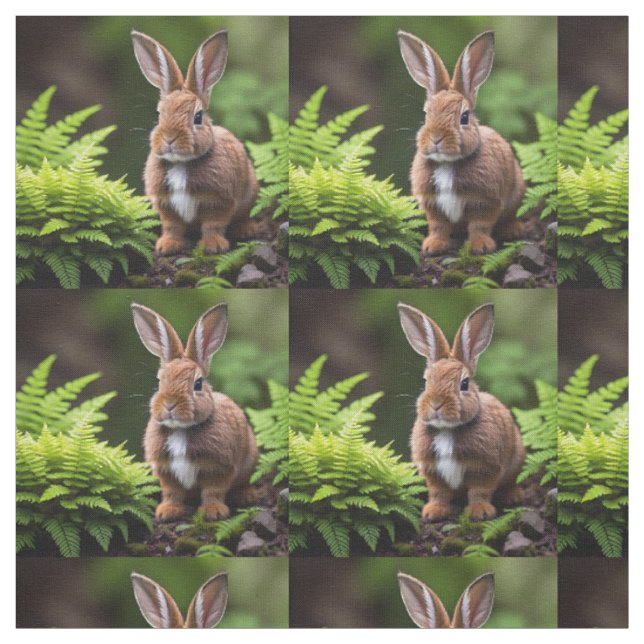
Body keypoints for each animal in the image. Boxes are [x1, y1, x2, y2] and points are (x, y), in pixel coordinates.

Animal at [131, 30, 259, 256]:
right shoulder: (166, 204)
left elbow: (212, 225)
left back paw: (247, 230)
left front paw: (213, 246)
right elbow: (172, 226)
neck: (181, 163)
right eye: (159, 114)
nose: (170, 138)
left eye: (197, 117)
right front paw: (166, 246)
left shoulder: (219, 202)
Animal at [131, 302, 259, 522]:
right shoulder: (166, 470)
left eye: (197, 384)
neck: (181, 430)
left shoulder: (219, 468)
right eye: (159, 381)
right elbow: (172, 492)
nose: (170, 404)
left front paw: (213, 512)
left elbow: (212, 491)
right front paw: (167, 512)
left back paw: (247, 496)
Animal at [397, 30, 525, 256]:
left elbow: (479, 225)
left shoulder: (485, 202)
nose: (436, 138)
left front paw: (480, 246)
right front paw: (433, 246)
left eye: (464, 117)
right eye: (426, 115)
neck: (447, 163)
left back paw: (513, 230)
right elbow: (438, 226)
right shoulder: (432, 203)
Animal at [397, 302, 525, 521]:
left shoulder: (485, 467)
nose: (436, 404)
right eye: (426, 382)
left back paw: (514, 496)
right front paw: (433, 512)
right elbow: (438, 492)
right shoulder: (432, 470)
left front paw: (480, 512)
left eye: (464, 384)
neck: (447, 429)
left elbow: (479, 491)